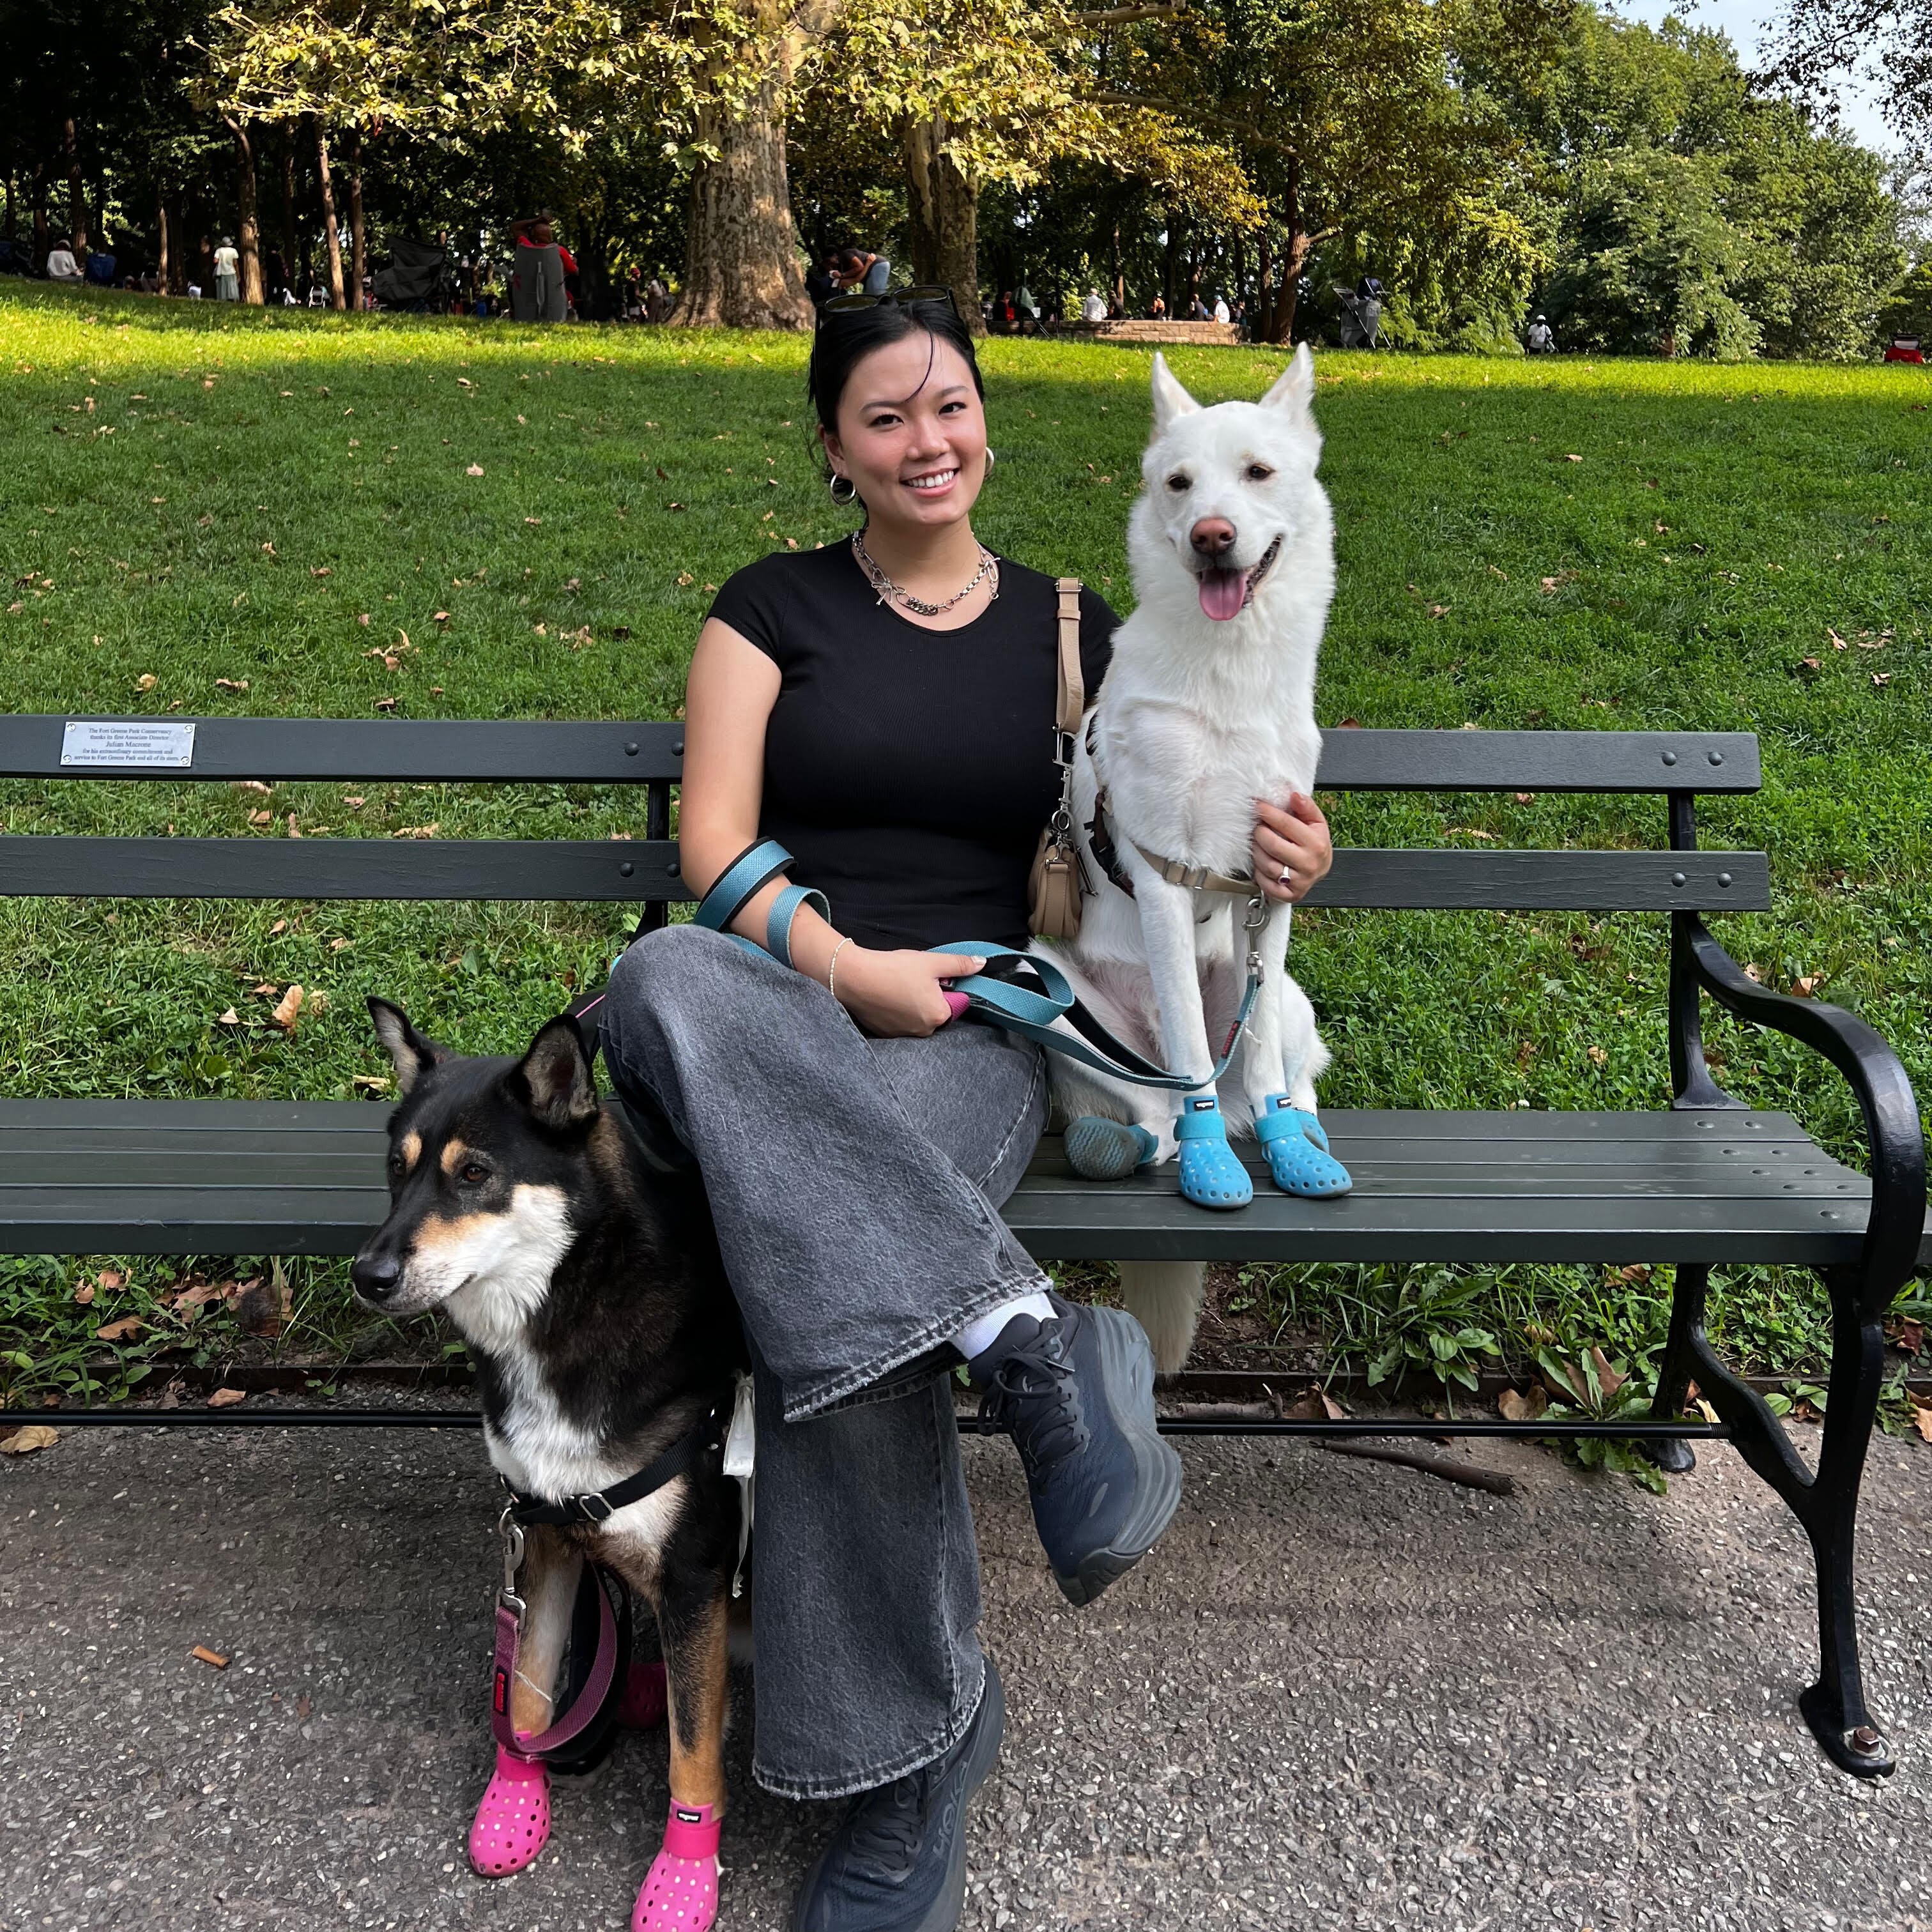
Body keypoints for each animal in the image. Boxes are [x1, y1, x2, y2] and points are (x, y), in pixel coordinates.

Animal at [351, 1004, 742, 1924]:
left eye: (475, 1173)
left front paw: (683, 1876)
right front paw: (516, 1802)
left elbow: (692, 1756)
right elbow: (525, 1690)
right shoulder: (546, 1536)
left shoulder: (697, 1570)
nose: (367, 1275)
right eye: (397, 1170)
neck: (571, 1307)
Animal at [1043, 348, 1344, 1376]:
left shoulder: (1273, 886)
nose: (1213, 536)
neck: (1231, 672)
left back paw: (1292, 1127)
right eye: (1179, 485)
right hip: (1056, 994)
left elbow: (1261, 1062)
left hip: (1290, 997)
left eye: (1257, 473)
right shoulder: (1168, 882)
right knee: (1157, 1112)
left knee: (1279, 1066)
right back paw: (1156, 1145)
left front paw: (1292, 1150)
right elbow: (1184, 1055)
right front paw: (1217, 1165)